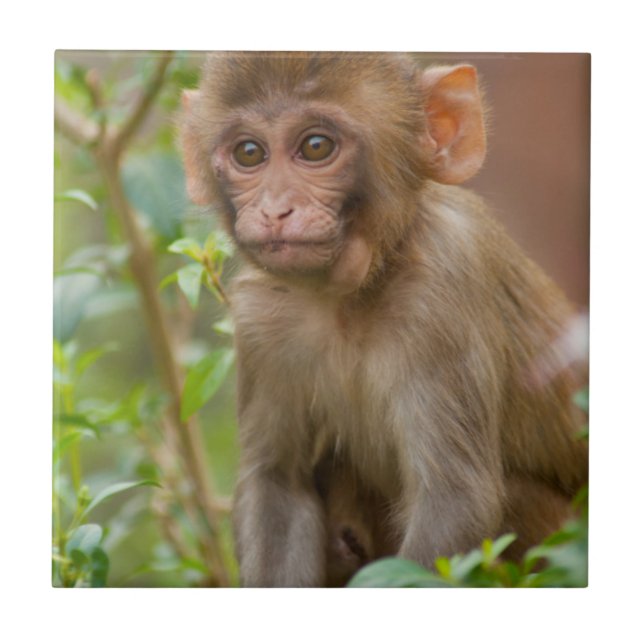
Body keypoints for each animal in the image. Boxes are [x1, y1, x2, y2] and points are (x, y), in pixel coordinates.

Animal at [180, 52, 588, 587]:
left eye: (316, 147)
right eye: (249, 153)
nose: (275, 210)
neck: (348, 296)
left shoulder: (443, 288)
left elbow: (454, 502)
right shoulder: (258, 319)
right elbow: (279, 483)